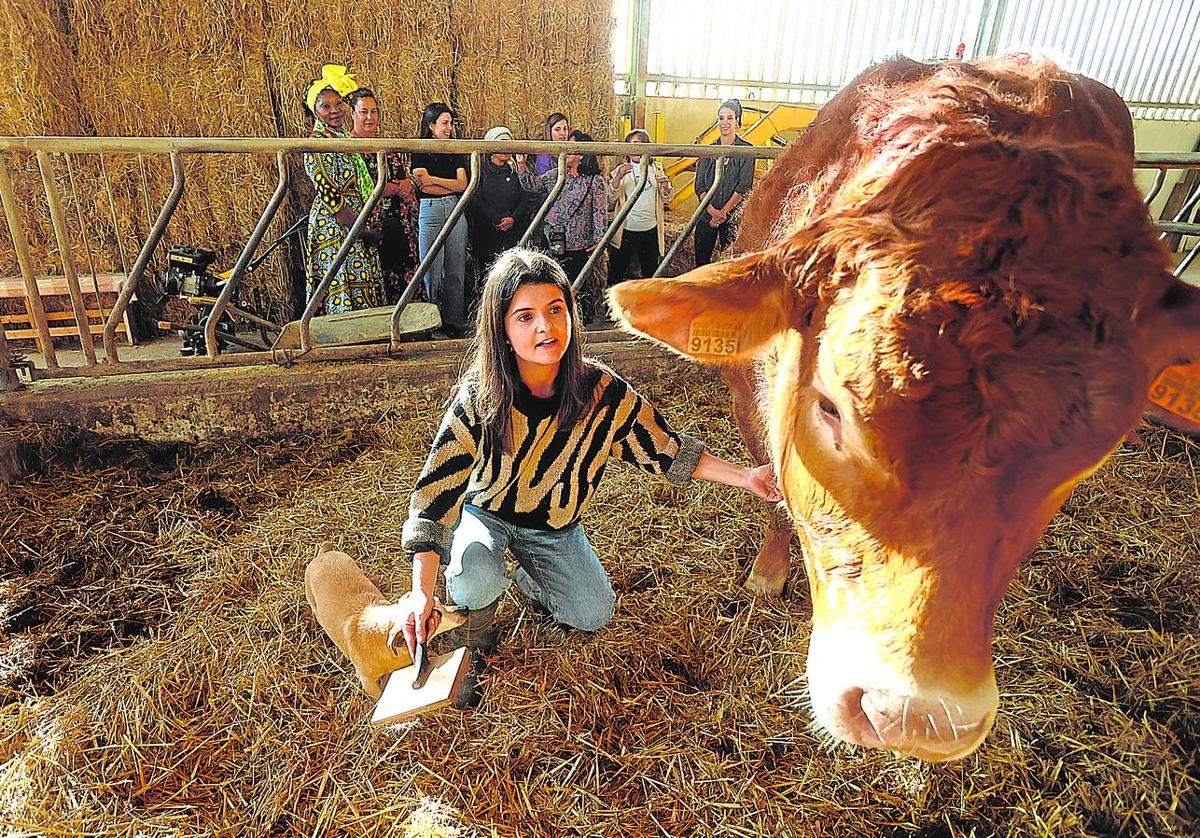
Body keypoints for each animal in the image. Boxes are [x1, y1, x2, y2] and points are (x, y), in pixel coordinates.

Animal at [304, 537, 463, 696]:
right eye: (436, 615)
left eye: (437, 600)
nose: (465, 609)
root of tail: (323, 554)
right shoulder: (367, 682)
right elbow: (379, 696)